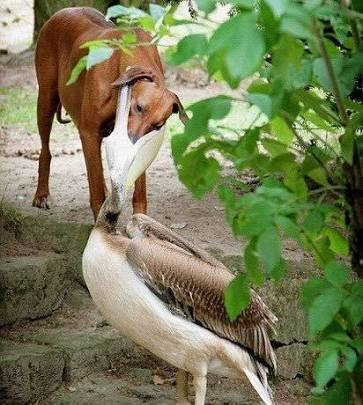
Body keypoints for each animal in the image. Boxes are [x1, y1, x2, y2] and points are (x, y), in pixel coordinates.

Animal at [33, 6, 188, 219]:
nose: (131, 140)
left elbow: (139, 189)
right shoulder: (89, 133)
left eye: (157, 125)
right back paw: (42, 194)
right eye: (138, 107)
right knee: (46, 150)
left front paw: (139, 219)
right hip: (46, 101)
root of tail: (62, 11)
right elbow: (96, 188)